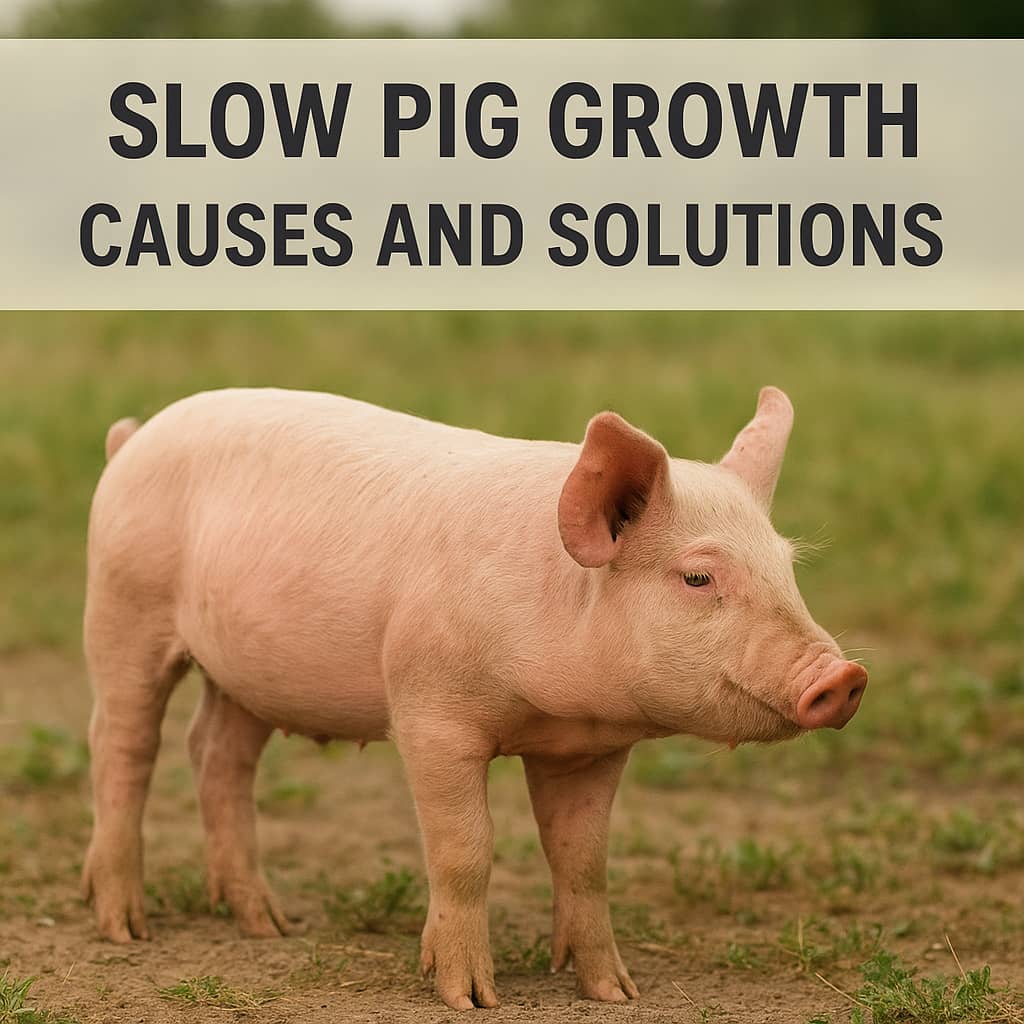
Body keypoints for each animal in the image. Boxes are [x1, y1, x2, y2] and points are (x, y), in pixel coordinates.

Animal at [81, 386, 866, 1009]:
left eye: (786, 566)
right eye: (698, 577)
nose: (844, 677)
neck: (560, 708)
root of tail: (132, 440)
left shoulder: (591, 750)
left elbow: (584, 859)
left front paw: (615, 992)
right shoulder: (430, 713)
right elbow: (466, 851)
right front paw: (468, 998)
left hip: (247, 676)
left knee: (217, 754)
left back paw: (268, 924)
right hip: (123, 603)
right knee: (123, 744)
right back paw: (123, 927)